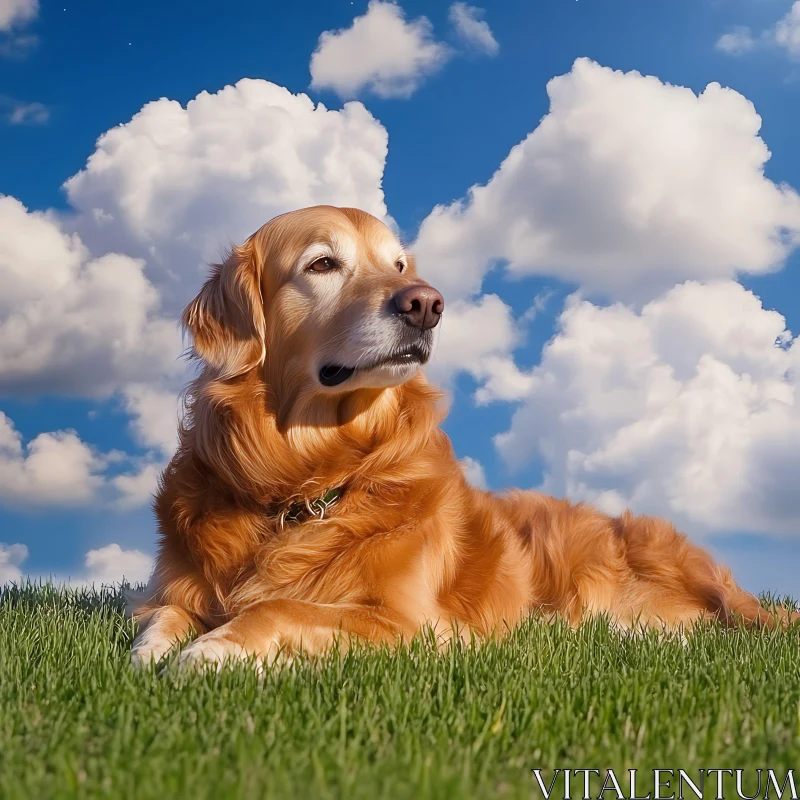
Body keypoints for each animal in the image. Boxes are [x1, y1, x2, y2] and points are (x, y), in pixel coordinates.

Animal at [130, 206, 792, 668]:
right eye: (322, 264)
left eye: (400, 266)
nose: (426, 303)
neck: (301, 480)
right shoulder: (176, 589)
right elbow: (158, 619)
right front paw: (153, 653)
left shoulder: (411, 624)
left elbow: (278, 604)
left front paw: (212, 651)